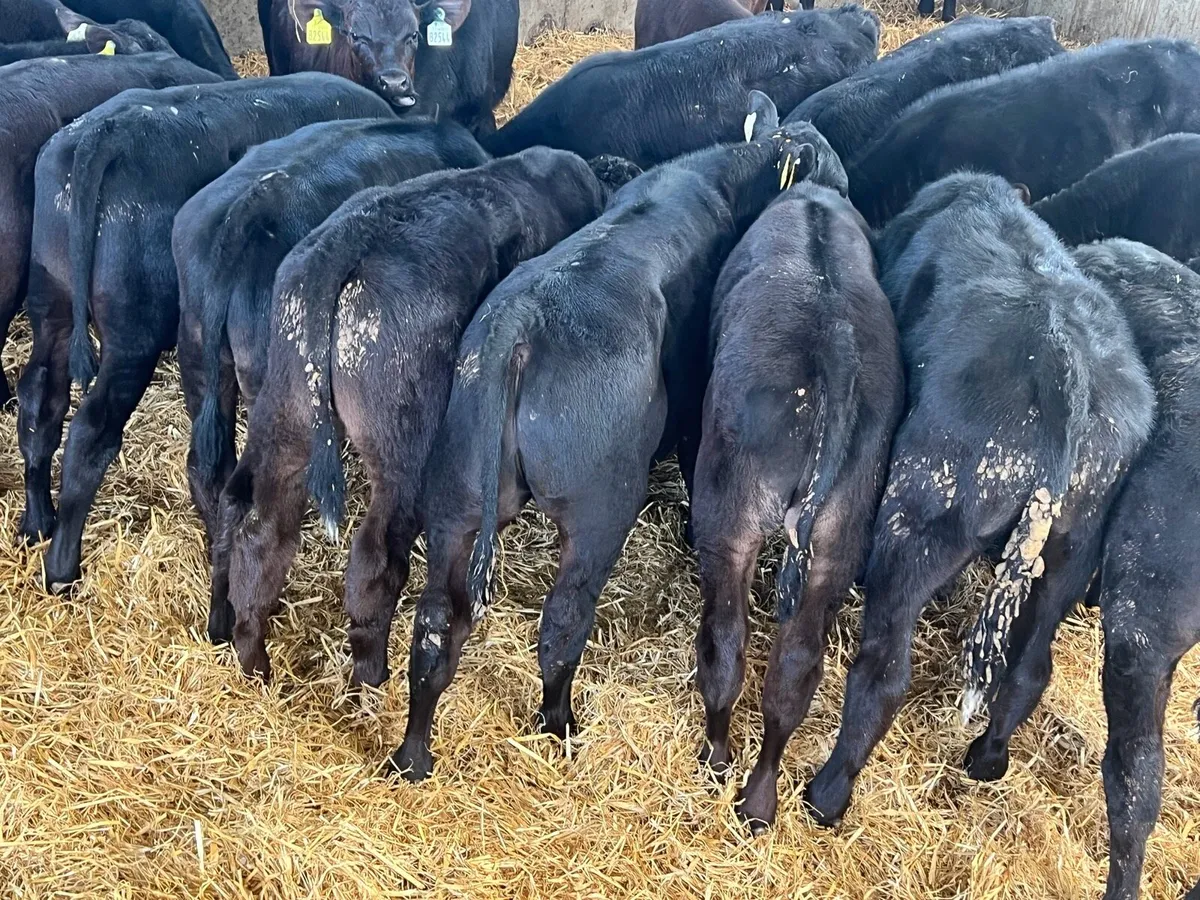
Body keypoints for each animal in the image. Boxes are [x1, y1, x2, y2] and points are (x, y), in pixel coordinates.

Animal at [16, 73, 393, 593]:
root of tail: (102, 134)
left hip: (52, 300)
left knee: (40, 398)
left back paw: (37, 523)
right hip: (133, 333)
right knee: (92, 431)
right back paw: (61, 569)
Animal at [215, 147, 624, 686]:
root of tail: (346, 244)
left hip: (285, 413)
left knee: (261, 527)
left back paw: (254, 657)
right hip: (403, 447)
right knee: (376, 554)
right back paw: (370, 673)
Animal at [386, 92, 850, 782]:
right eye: (825, 157)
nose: (848, 192)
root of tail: (521, 324)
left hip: (455, 497)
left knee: (436, 624)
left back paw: (413, 756)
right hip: (601, 507)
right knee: (562, 623)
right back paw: (559, 725)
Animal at [690, 180, 904, 831]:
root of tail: (831, 351)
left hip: (727, 514)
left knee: (724, 645)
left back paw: (717, 759)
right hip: (839, 539)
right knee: (794, 670)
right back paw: (759, 801)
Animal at [800, 174, 1154, 829]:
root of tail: (1066, 372)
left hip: (919, 514)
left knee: (884, 673)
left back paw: (827, 795)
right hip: (1074, 549)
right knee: (1029, 668)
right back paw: (987, 758)